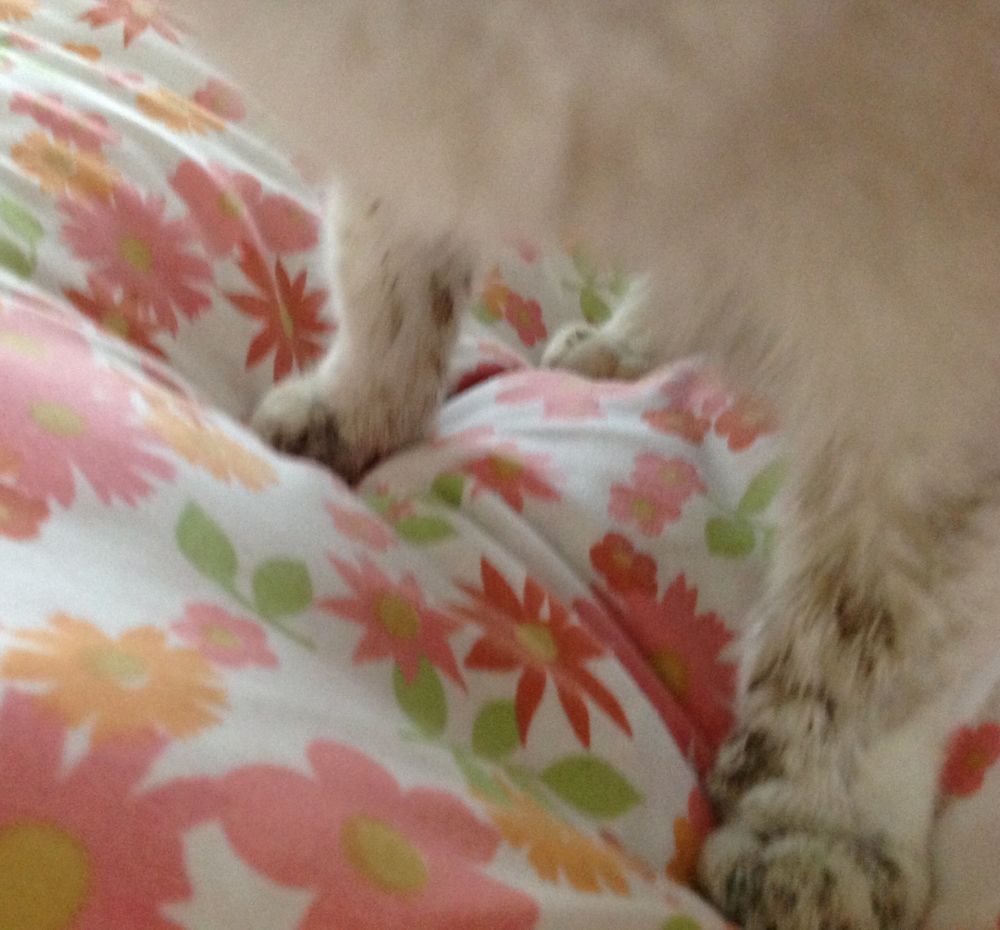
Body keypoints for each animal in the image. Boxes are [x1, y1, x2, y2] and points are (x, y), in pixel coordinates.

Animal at [184, 2, 1000, 927]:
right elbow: (387, 260)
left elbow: (873, 626)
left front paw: (818, 829)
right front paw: (354, 408)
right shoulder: (405, 95)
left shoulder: (929, 318)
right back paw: (619, 347)